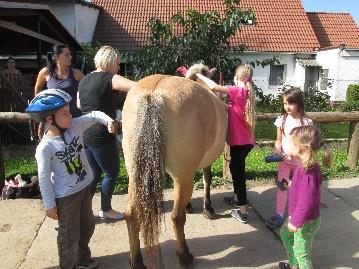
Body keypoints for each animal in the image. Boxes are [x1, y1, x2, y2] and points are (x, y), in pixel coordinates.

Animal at [122, 74, 226, 268]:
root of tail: (153, 93)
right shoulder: (199, 166)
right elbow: (207, 179)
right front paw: (207, 209)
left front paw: (191, 205)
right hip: (180, 175)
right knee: (177, 217)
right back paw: (184, 256)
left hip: (135, 173)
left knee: (131, 214)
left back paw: (136, 261)